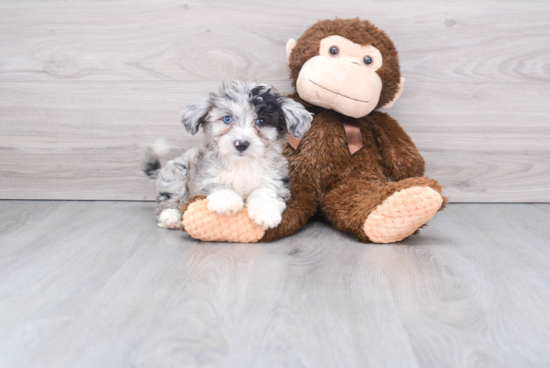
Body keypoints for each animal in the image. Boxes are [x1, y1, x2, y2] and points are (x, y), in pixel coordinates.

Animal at [142, 81, 314, 230]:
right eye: (227, 118)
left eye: (261, 120)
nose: (241, 144)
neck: (242, 164)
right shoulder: (204, 176)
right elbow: (217, 183)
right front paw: (226, 200)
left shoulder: (275, 179)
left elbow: (265, 192)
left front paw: (265, 212)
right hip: (177, 173)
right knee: (169, 199)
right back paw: (170, 217)